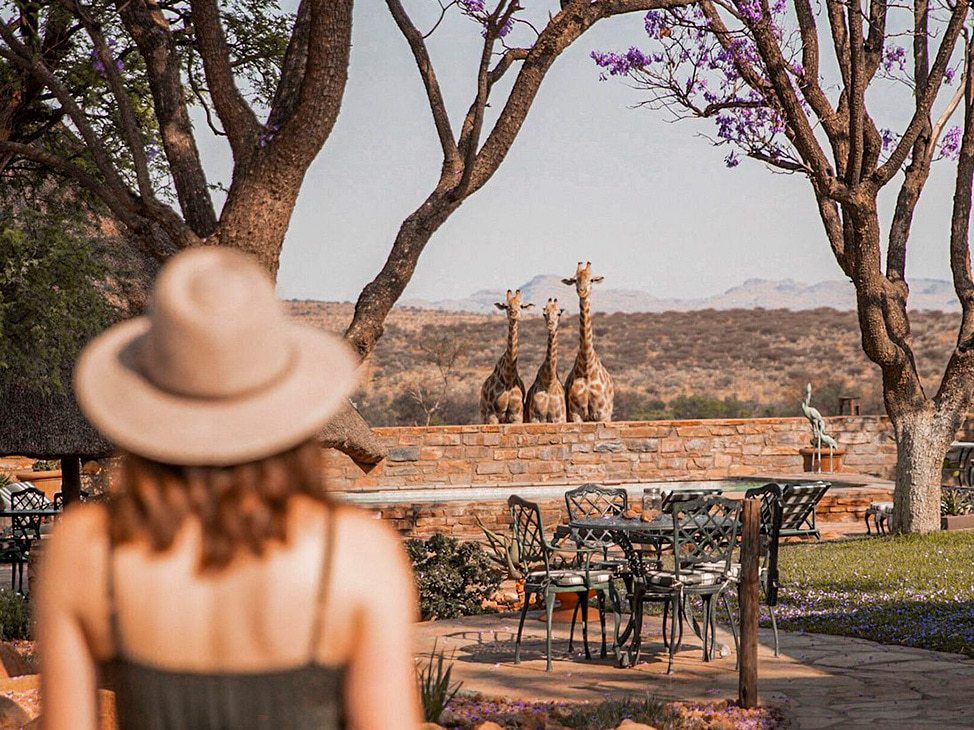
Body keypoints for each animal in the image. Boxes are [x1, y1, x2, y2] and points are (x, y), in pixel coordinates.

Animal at [480, 289, 533, 424]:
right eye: (506, 306)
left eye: (521, 306)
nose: (513, 313)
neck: (508, 378)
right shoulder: (493, 413)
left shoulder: (517, 414)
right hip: (483, 414)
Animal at [562, 261, 614, 422]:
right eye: (575, 280)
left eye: (591, 280)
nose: (582, 291)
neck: (586, 369)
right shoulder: (575, 414)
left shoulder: (602, 414)